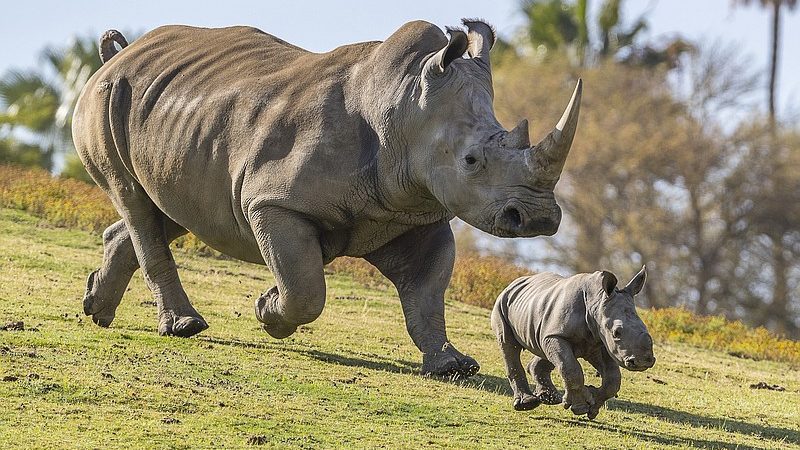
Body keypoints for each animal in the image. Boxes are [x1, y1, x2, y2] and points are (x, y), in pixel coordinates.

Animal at [72, 19, 582, 378]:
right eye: (472, 161)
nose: (538, 218)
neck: (403, 108)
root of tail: (117, 57)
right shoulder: (274, 202)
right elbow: (305, 290)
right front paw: (268, 311)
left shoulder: (415, 212)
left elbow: (427, 292)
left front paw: (452, 366)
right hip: (105, 98)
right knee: (134, 200)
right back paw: (185, 327)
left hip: (178, 117)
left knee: (172, 207)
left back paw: (97, 309)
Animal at [491, 267, 654, 418]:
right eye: (616, 333)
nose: (643, 362)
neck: (596, 301)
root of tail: (514, 283)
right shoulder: (559, 335)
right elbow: (570, 369)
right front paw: (580, 407)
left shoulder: (600, 341)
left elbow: (613, 379)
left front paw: (592, 406)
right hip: (502, 303)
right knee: (509, 345)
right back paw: (527, 404)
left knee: (545, 349)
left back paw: (551, 399)